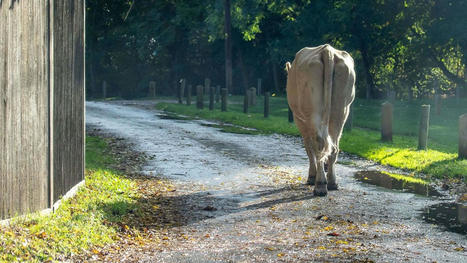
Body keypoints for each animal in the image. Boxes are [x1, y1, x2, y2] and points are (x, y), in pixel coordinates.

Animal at [286, 43, 354, 196]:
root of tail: (327, 50)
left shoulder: (300, 119)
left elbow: (308, 146)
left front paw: (312, 175)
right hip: (341, 110)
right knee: (334, 146)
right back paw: (332, 182)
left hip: (313, 110)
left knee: (318, 142)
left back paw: (320, 185)